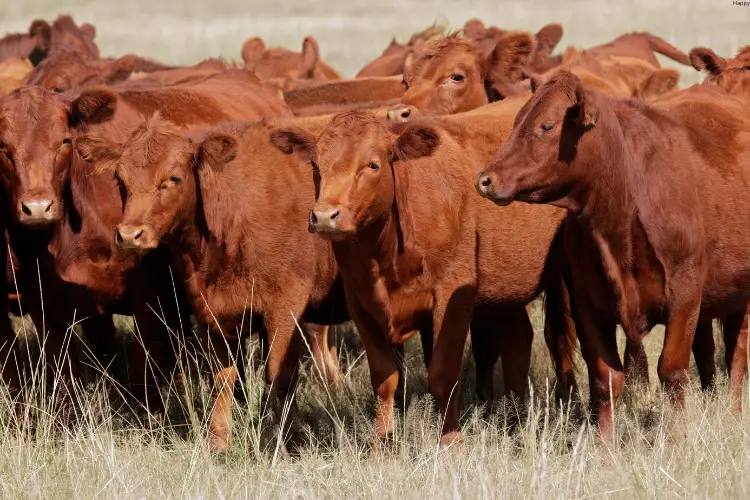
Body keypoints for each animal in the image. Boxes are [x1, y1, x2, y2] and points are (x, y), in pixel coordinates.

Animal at [73, 112, 350, 450]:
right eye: (119, 180)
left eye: (174, 178)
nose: (129, 235)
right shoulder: (211, 311)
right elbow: (221, 378)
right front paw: (218, 442)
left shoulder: (286, 305)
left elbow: (280, 374)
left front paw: (292, 441)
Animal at [274, 112, 572, 446]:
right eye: (315, 164)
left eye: (373, 164)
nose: (325, 216)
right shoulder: (361, 303)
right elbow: (384, 378)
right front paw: (382, 443)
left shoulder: (452, 294)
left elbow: (443, 373)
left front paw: (451, 444)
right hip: (506, 292)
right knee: (518, 340)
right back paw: (514, 421)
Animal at [478, 71, 750, 438]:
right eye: (516, 121)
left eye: (546, 126)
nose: (486, 179)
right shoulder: (587, 303)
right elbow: (605, 379)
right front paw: (604, 444)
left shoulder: (685, 295)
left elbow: (673, 370)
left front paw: (677, 436)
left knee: (737, 354)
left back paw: (734, 413)